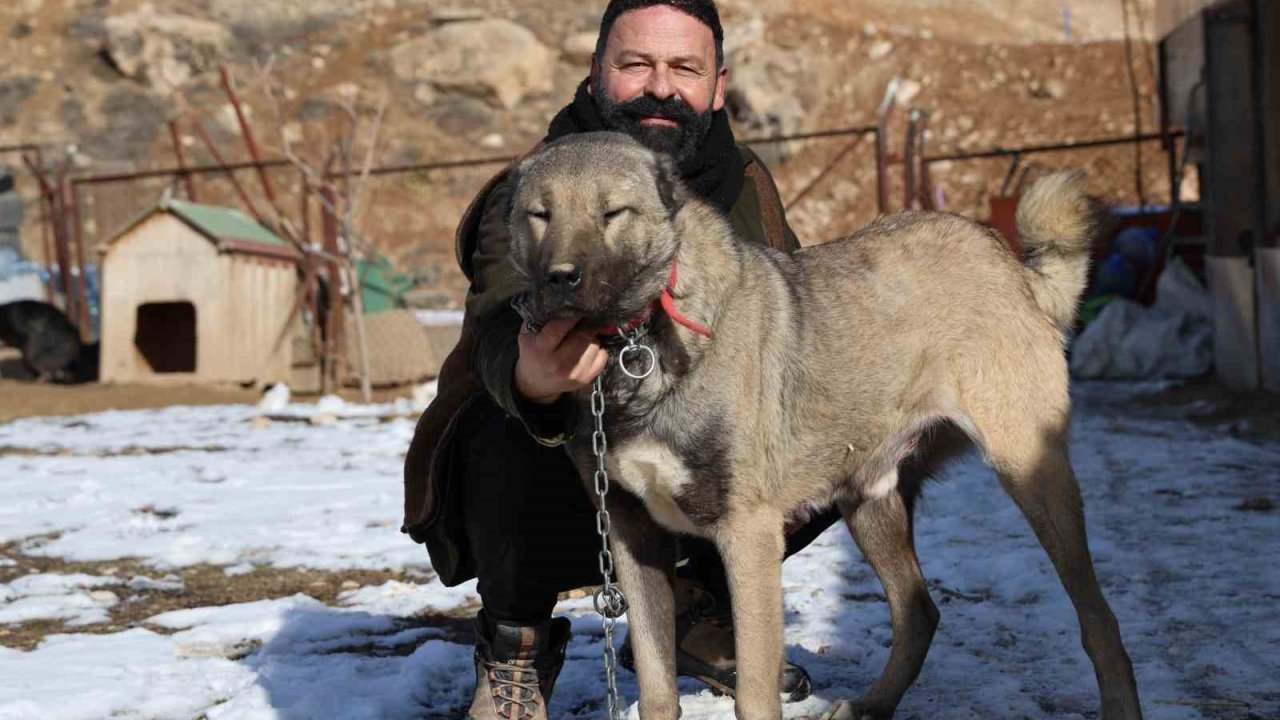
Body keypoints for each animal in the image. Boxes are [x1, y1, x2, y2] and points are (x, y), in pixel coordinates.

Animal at [504, 130, 1146, 717]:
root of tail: (1006, 259)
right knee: (919, 612)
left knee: (1100, 622)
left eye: (613, 212)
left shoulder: (748, 536)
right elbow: (659, 691)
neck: (636, 345)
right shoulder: (632, 538)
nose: (561, 278)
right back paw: (873, 705)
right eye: (541, 215)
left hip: (1033, 476)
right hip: (868, 499)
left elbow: (754, 695)